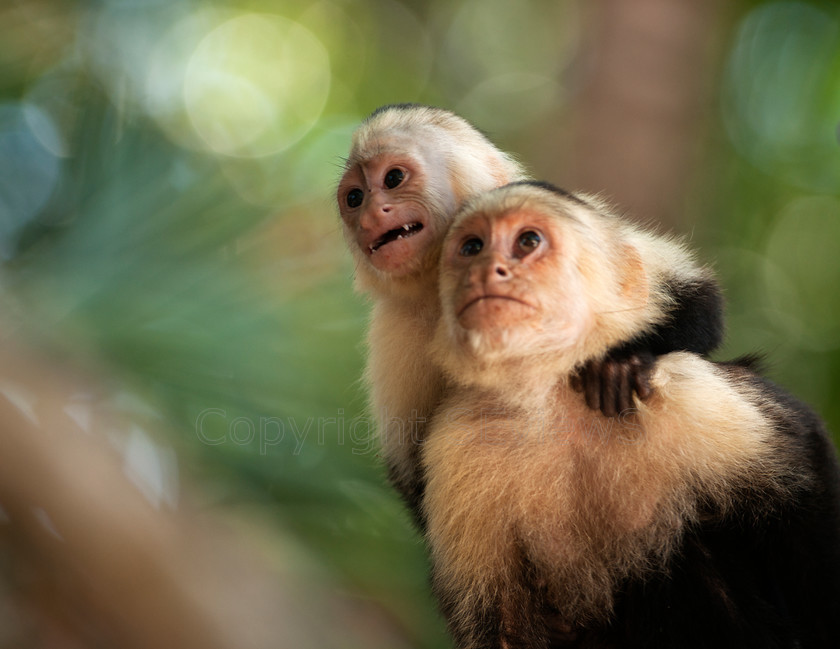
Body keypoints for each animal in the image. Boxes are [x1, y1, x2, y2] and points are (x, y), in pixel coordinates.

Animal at [338, 104, 724, 524]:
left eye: (393, 178)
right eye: (354, 198)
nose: (370, 217)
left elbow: (700, 301)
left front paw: (621, 364)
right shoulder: (397, 327)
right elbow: (415, 480)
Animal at [426, 180, 840, 648]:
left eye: (528, 241)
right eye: (471, 248)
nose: (486, 271)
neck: (548, 399)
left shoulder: (677, 391)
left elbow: (803, 465)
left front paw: (618, 364)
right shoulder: (454, 445)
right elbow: (503, 627)